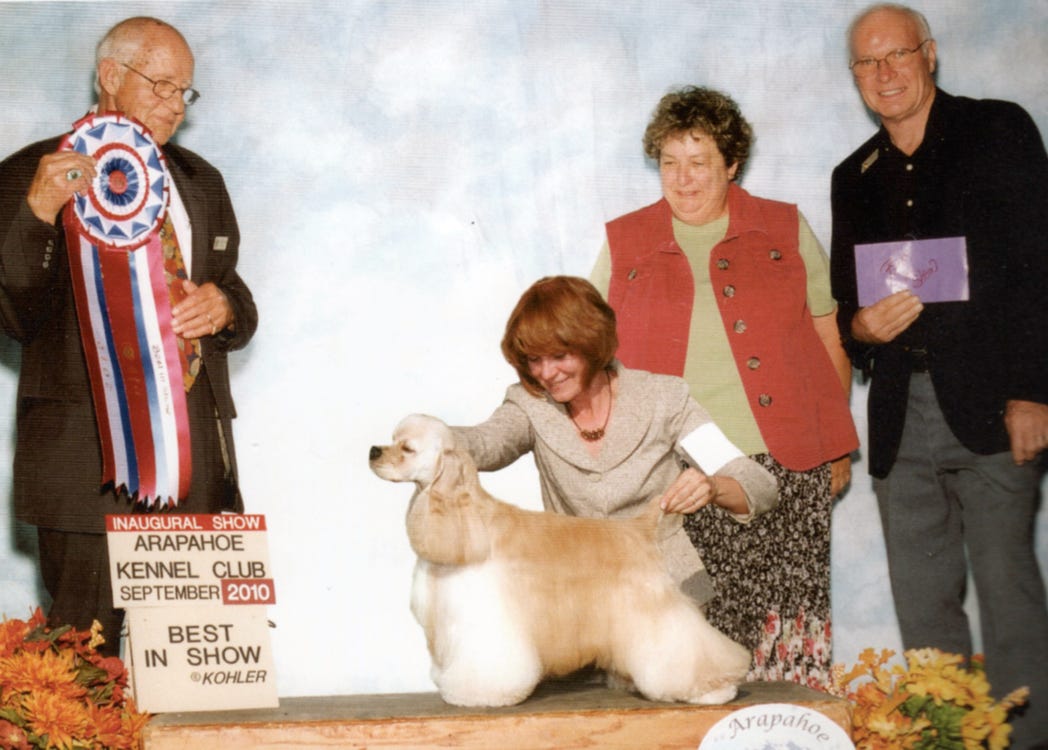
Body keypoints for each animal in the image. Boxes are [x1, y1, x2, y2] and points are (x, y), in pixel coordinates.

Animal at [368, 413, 750, 707]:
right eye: (392, 440)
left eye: (407, 448)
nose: (373, 451)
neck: (462, 514)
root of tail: (639, 527)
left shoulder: (487, 617)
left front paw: (476, 694)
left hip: (651, 606)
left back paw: (715, 689)